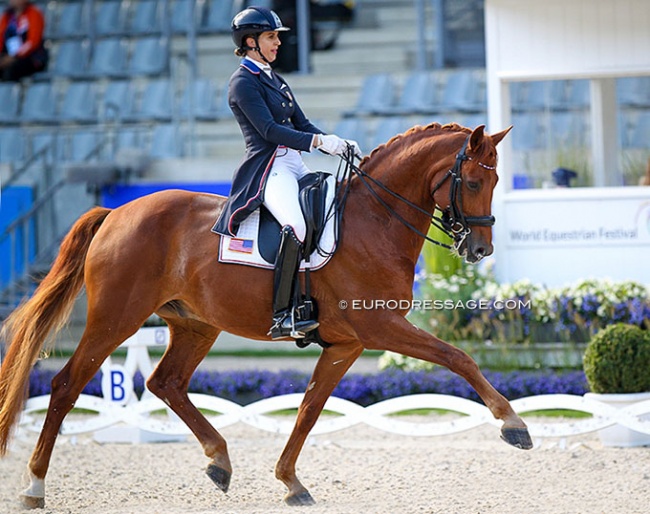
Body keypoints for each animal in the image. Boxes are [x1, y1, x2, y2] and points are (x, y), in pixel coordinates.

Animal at [0, 122, 532, 506]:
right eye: (473, 180)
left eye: (496, 180)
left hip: (196, 325)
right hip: (117, 317)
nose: (480, 249)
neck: (375, 219)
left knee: (165, 383)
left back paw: (219, 462)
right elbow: (458, 357)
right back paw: (34, 487)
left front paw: (290, 482)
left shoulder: (347, 343)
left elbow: (309, 409)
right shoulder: (381, 327)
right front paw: (514, 425)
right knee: (67, 385)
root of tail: (116, 212)